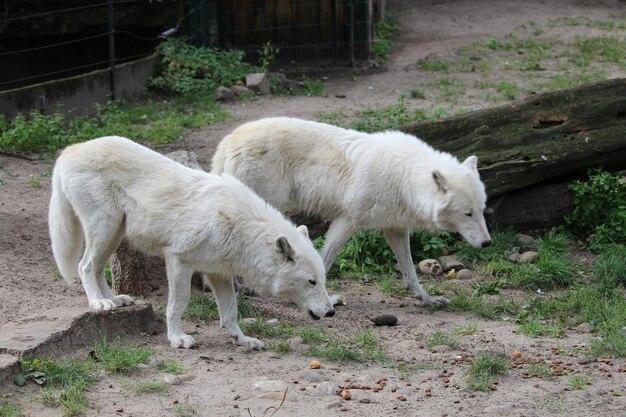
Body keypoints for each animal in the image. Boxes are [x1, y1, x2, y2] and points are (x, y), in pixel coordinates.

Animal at [48, 134, 334, 348]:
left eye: (322, 280)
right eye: (311, 282)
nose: (331, 312)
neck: (240, 227)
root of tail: (69, 150)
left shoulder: (219, 274)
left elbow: (230, 312)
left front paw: (242, 340)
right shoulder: (178, 261)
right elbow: (178, 304)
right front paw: (177, 338)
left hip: (114, 234)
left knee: (97, 269)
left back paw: (114, 300)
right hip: (105, 229)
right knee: (85, 266)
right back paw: (98, 303)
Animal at [212, 117, 490, 306]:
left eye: (481, 210)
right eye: (467, 214)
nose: (488, 243)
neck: (404, 178)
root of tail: (227, 142)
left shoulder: (395, 229)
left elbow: (410, 271)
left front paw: (426, 299)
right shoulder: (347, 220)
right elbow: (324, 260)